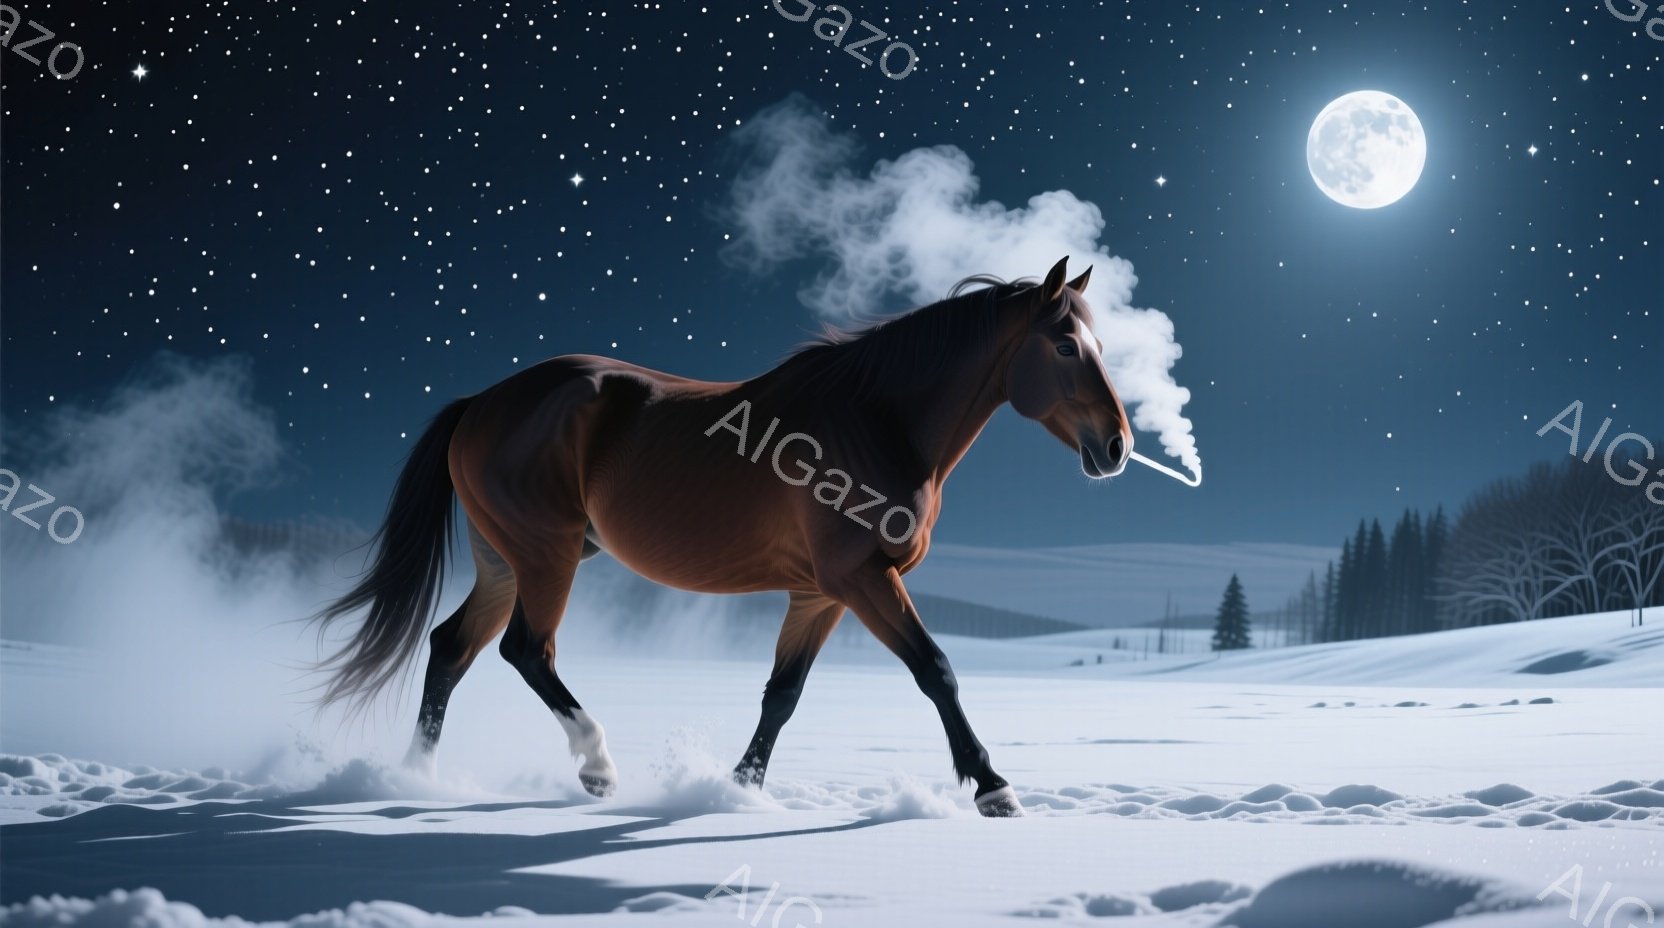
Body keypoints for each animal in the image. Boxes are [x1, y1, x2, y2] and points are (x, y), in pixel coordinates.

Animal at [315, 256, 1133, 817]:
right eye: (1066, 347)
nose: (1117, 446)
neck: (878, 420)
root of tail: (481, 400)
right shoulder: (862, 578)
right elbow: (936, 670)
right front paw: (994, 788)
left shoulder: (819, 594)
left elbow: (783, 694)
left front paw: (737, 790)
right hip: (546, 557)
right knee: (525, 650)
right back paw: (597, 767)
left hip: (505, 562)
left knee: (452, 648)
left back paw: (416, 779)